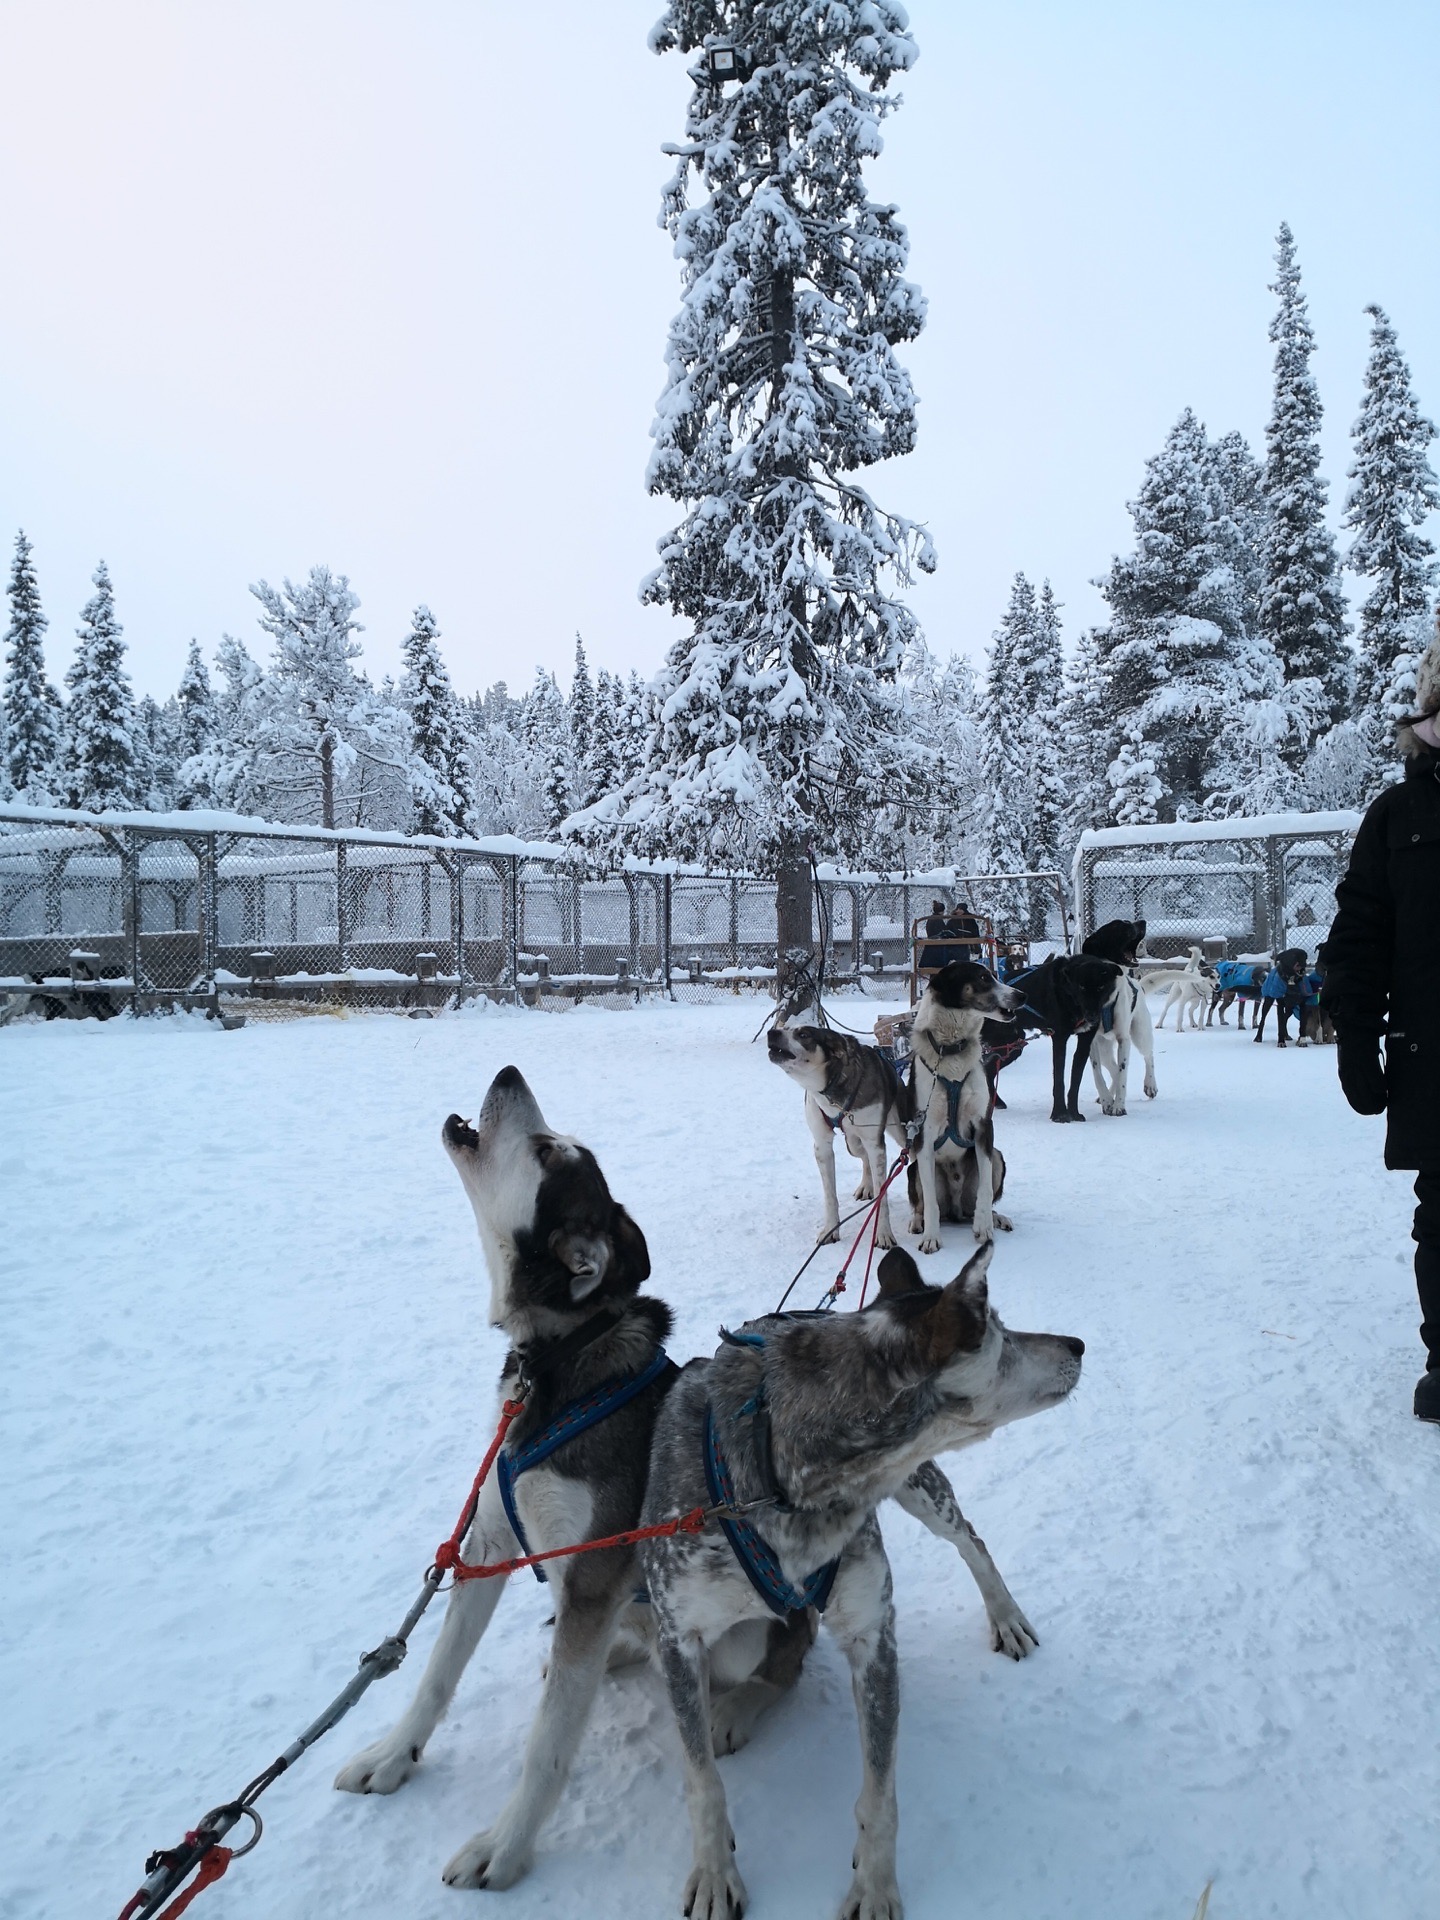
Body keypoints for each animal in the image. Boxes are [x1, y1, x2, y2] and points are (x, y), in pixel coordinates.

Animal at [641, 1244, 1082, 1920]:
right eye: (1002, 1333)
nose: (1079, 1343)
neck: (782, 1482)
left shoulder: (872, 1635)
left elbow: (881, 1797)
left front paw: (875, 1887)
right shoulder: (677, 1636)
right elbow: (702, 1781)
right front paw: (715, 1872)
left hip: (923, 1490)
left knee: (971, 1540)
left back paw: (1005, 1616)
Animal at [768, 1029, 913, 1251]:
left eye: (803, 1034)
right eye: (787, 1028)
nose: (771, 1032)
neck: (830, 1090)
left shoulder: (875, 1143)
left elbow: (883, 1197)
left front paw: (883, 1234)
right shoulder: (822, 1145)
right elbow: (830, 1196)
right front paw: (830, 1230)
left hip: (899, 1131)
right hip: (853, 1143)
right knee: (863, 1157)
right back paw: (866, 1186)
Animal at [913, 960, 1029, 1259]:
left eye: (994, 975)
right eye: (982, 978)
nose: (1022, 995)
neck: (952, 1050)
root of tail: (955, 1210)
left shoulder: (983, 1127)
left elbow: (985, 1191)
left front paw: (984, 1226)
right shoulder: (924, 1134)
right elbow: (929, 1200)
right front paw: (931, 1237)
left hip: (997, 1157)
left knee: (977, 1202)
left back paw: (995, 1218)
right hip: (913, 1166)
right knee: (921, 1204)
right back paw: (918, 1222)